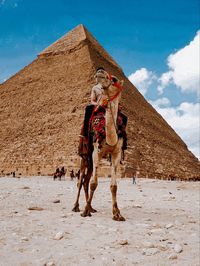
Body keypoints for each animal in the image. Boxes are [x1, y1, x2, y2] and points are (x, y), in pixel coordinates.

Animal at [72, 72, 125, 220]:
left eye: (114, 79)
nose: (100, 74)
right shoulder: (96, 152)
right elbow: (94, 183)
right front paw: (85, 211)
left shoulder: (116, 154)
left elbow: (114, 186)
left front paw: (117, 213)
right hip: (84, 157)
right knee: (80, 181)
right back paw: (76, 206)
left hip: (90, 162)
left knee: (85, 181)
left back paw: (91, 207)